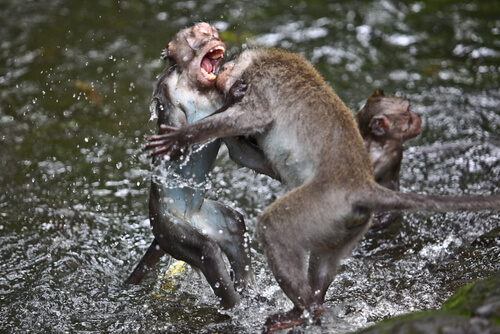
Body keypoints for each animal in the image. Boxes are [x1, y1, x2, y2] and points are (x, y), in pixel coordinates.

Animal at [123, 23, 276, 310]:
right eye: (199, 32)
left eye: (212, 31)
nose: (213, 34)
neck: (195, 88)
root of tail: (192, 220)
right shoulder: (167, 92)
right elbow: (175, 143)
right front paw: (233, 98)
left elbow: (238, 152)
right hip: (168, 226)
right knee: (206, 252)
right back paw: (236, 307)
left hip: (208, 218)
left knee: (234, 225)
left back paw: (250, 295)